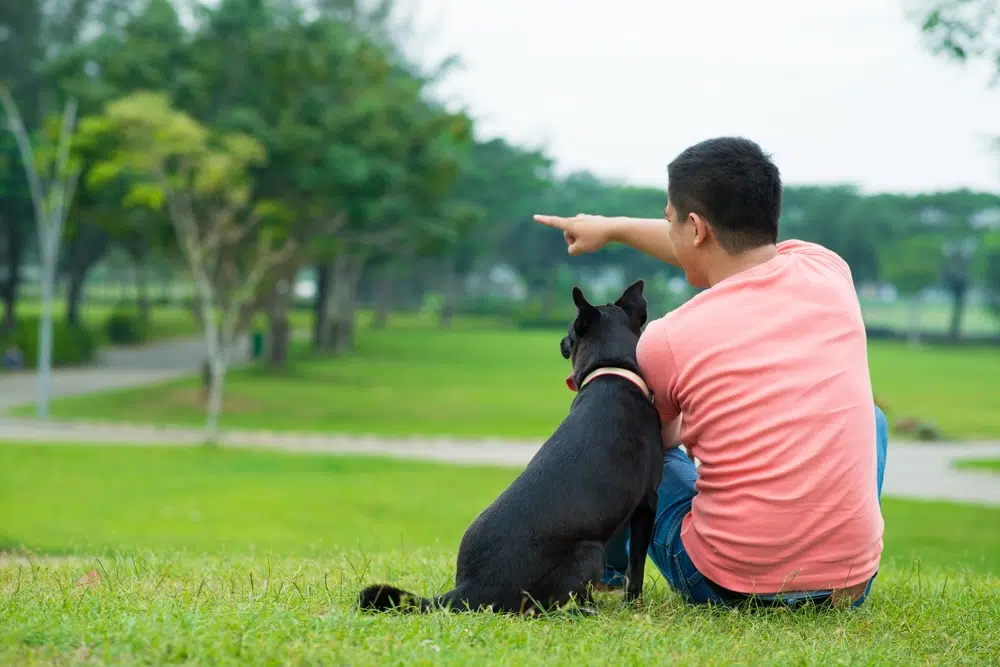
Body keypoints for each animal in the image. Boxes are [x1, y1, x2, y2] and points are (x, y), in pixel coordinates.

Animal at [360, 282, 664, 616]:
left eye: (569, 332)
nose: (560, 341)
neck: (611, 369)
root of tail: (471, 588)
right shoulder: (647, 500)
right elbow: (635, 568)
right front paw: (633, 605)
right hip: (590, 552)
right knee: (545, 606)